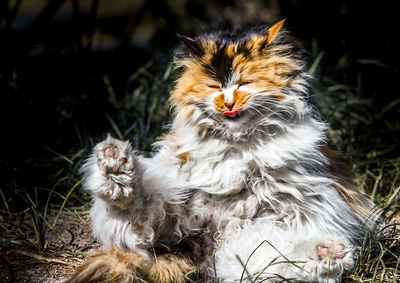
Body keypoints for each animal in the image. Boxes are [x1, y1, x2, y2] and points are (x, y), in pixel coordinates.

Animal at [67, 20, 376, 283]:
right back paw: (114, 163)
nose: (228, 104)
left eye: (245, 83)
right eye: (213, 86)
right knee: (134, 205)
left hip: (262, 235)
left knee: (279, 259)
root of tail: (200, 246)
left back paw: (327, 253)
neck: (236, 142)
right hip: (170, 210)